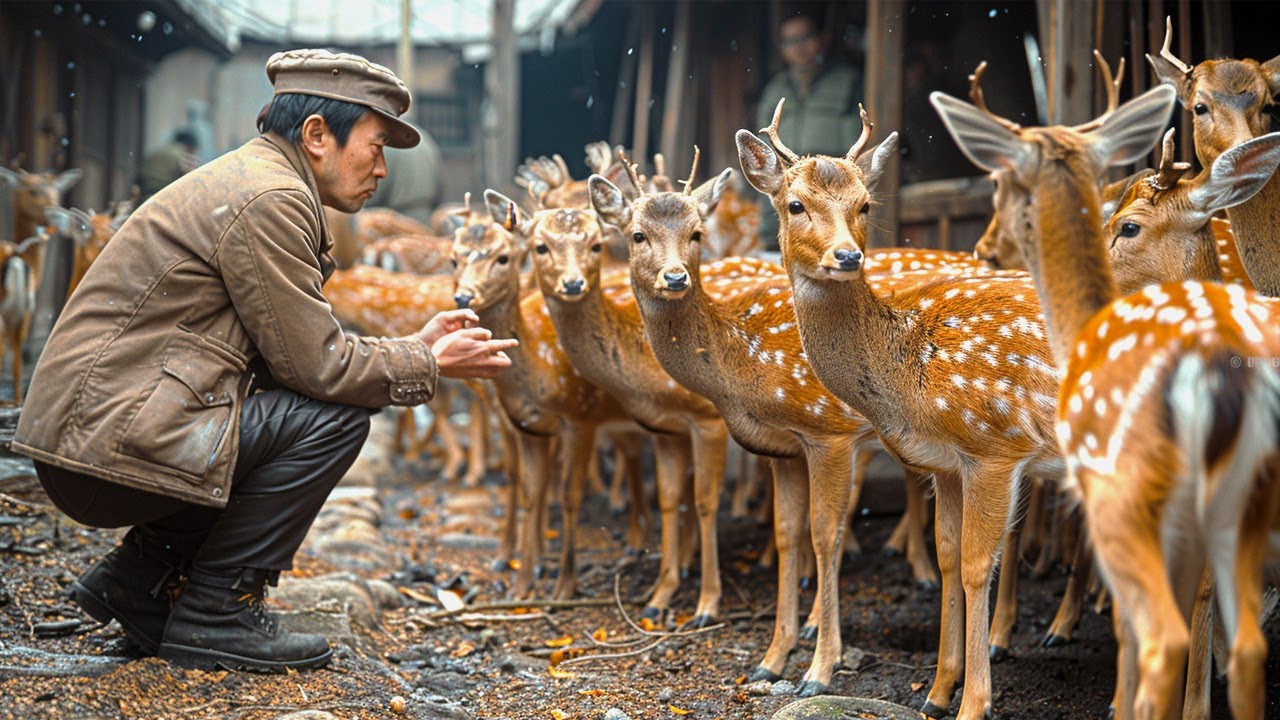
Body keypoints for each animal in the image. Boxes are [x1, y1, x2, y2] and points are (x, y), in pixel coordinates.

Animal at [450, 203, 650, 600]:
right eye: (454, 258)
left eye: (503, 257)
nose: (464, 297)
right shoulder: (523, 423)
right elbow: (527, 489)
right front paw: (520, 579)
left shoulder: (581, 416)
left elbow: (569, 495)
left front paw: (563, 586)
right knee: (635, 455)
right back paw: (639, 541)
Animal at [737, 101, 1069, 718]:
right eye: (795, 204)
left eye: (865, 203)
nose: (847, 255)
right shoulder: (947, 463)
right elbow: (946, 559)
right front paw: (938, 692)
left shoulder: (995, 445)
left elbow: (975, 566)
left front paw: (974, 702)